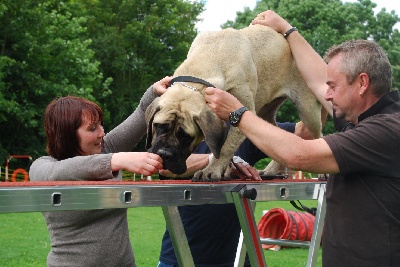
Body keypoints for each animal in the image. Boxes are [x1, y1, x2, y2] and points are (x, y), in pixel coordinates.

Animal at [145, 24, 320, 182]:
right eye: (158, 126)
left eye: (185, 136)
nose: (164, 154)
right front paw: (227, 171)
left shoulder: (242, 112)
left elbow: (225, 147)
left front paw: (212, 170)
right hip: (264, 115)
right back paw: (271, 170)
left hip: (308, 110)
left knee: (316, 137)